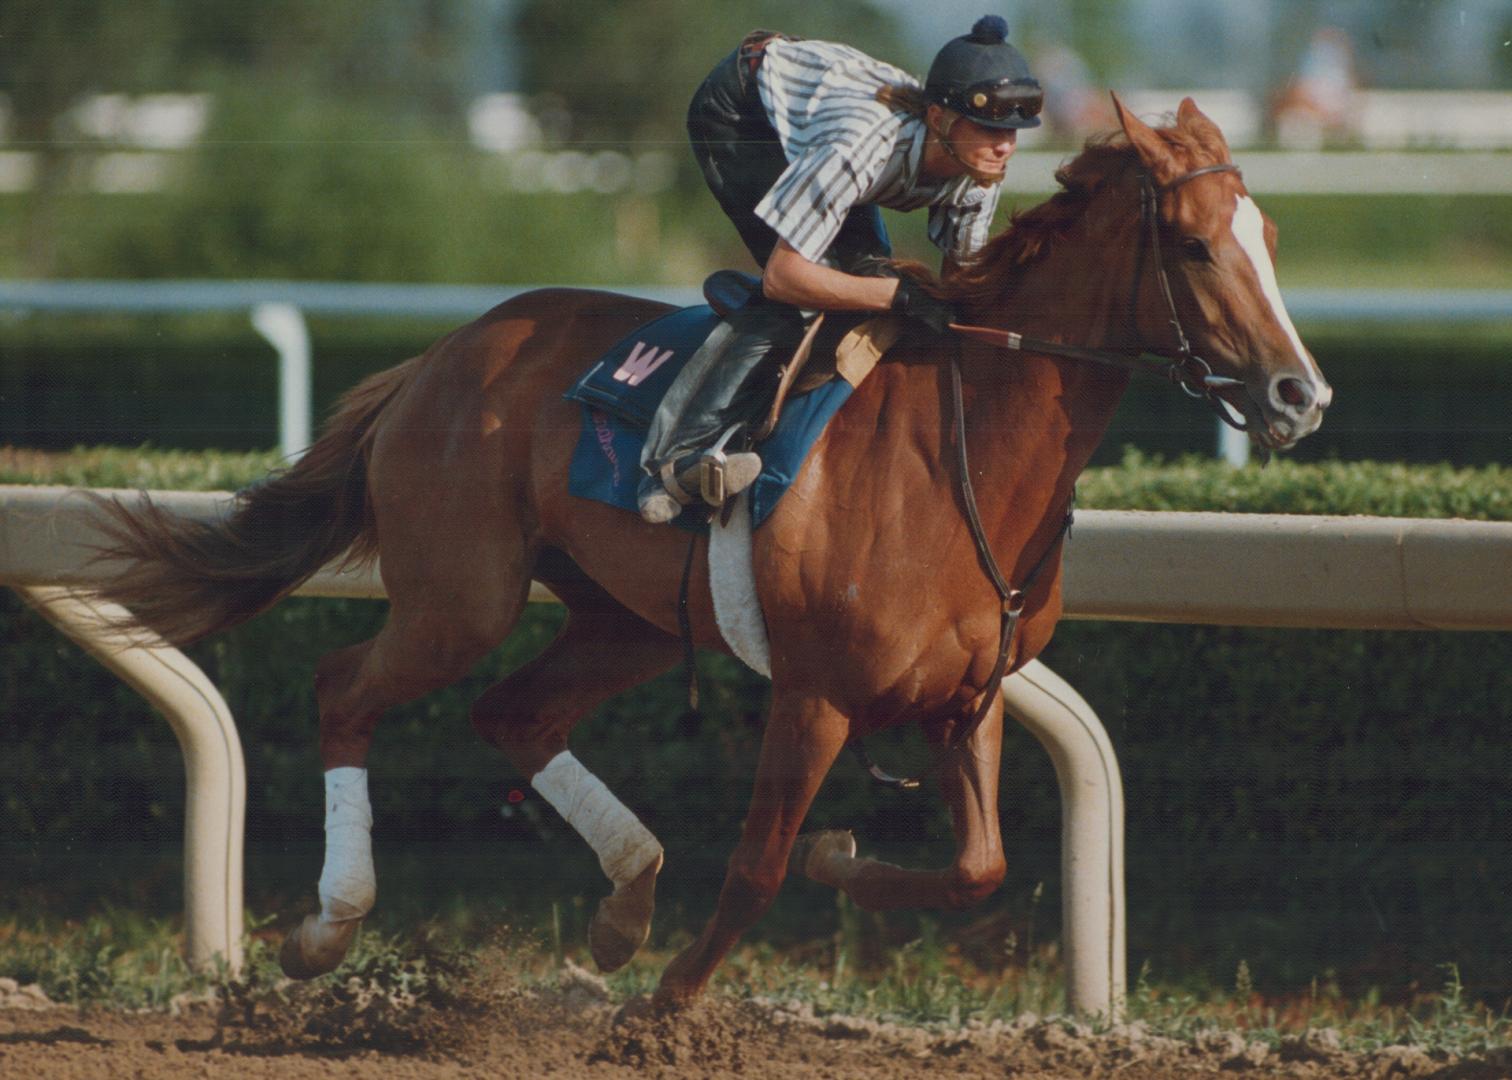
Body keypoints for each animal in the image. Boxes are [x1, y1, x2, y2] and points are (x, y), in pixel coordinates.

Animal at [88, 96, 1330, 1004]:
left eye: (1272, 238)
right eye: (1193, 246)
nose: (1298, 394)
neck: (957, 447)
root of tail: (440, 356)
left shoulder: (968, 695)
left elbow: (978, 867)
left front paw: (837, 861)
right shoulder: (816, 694)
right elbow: (757, 866)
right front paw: (671, 1001)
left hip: (627, 617)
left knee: (514, 712)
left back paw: (623, 901)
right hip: (460, 596)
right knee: (346, 687)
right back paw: (327, 929)